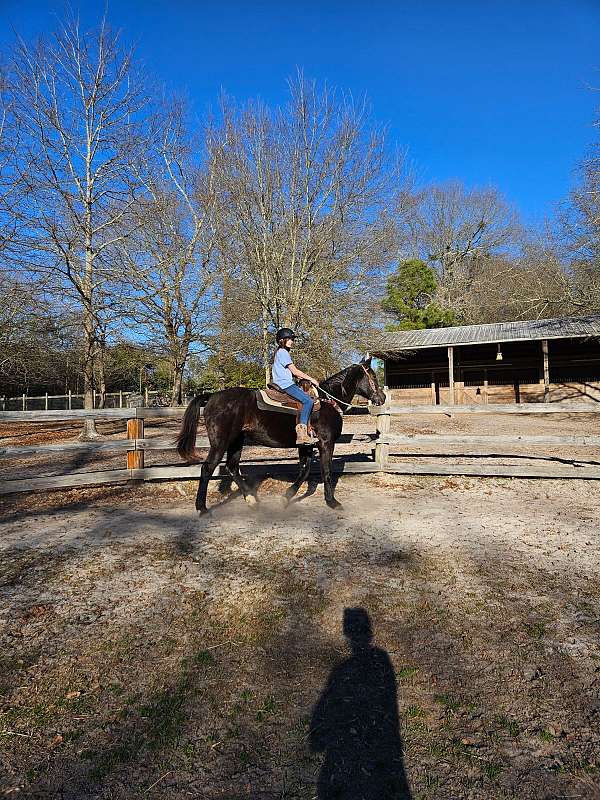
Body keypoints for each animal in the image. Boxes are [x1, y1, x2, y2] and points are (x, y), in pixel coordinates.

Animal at [176, 354, 386, 512]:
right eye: (373, 377)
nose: (382, 398)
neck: (327, 402)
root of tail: (212, 396)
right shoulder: (326, 443)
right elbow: (326, 471)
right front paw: (332, 502)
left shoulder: (306, 446)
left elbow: (304, 470)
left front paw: (286, 497)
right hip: (221, 442)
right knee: (207, 468)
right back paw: (202, 508)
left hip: (237, 441)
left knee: (232, 466)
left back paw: (251, 499)